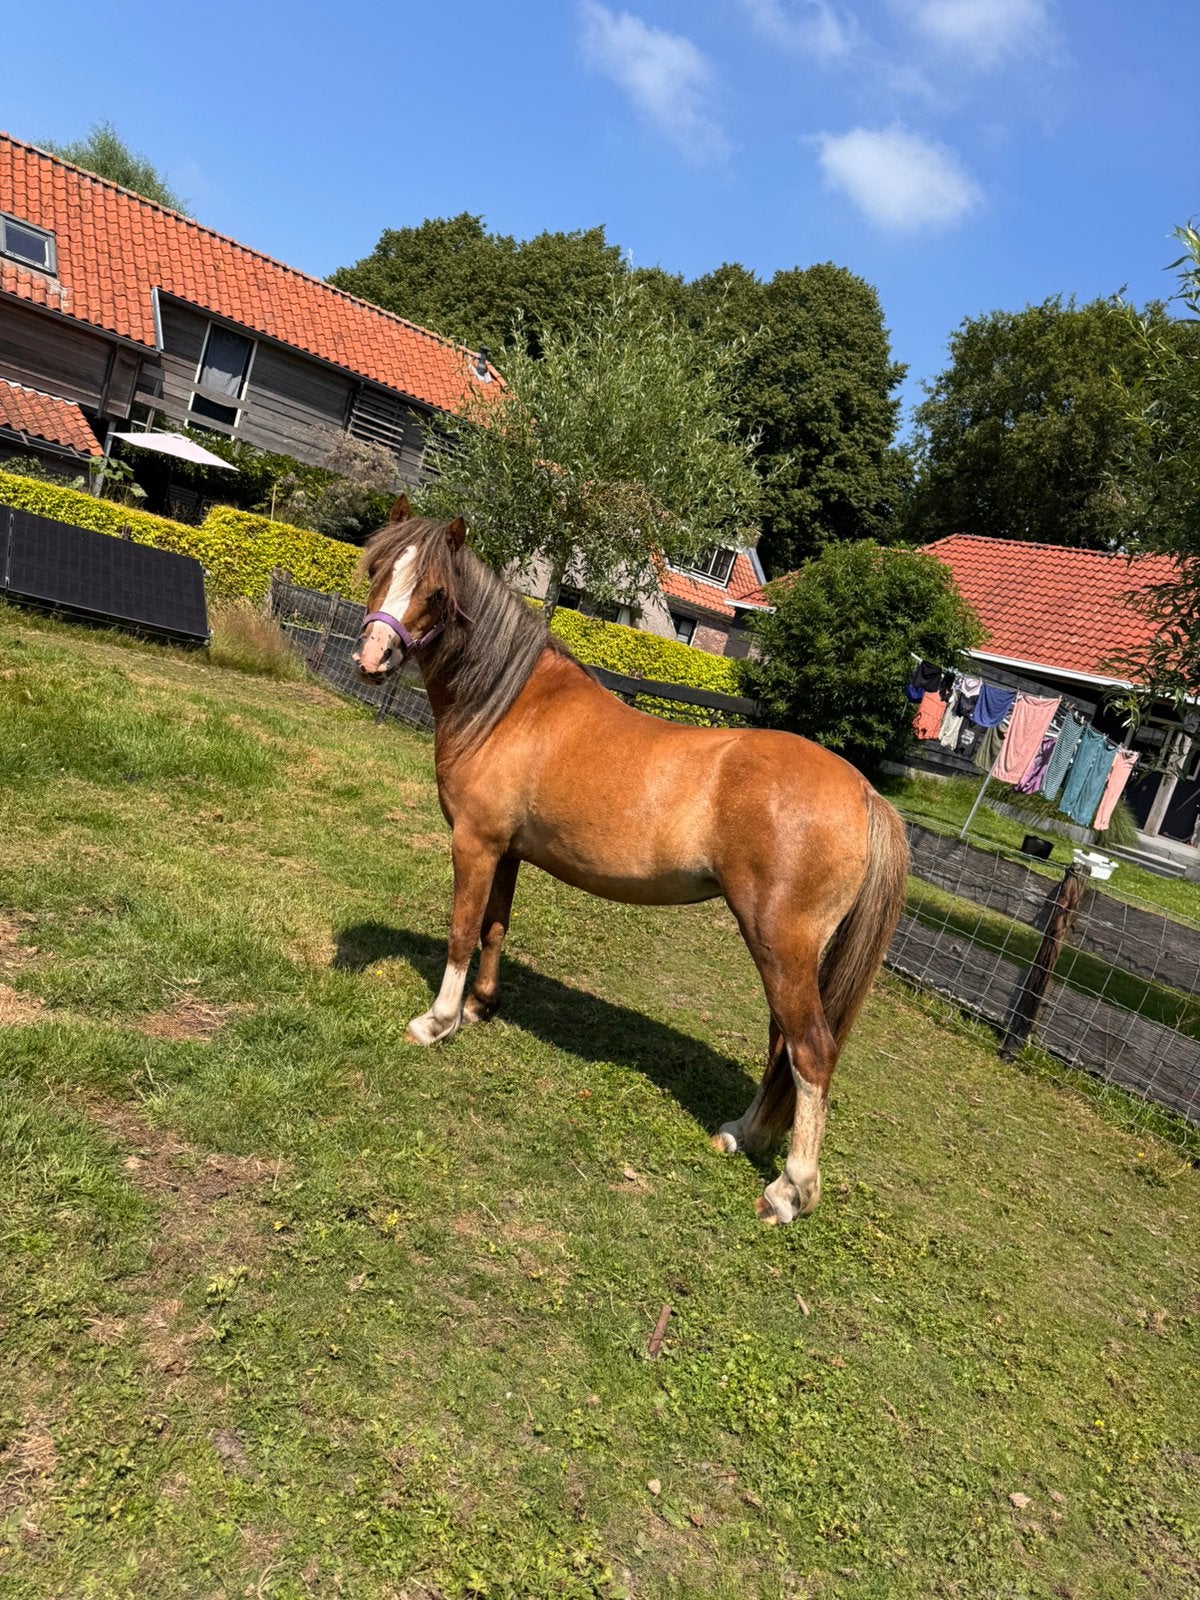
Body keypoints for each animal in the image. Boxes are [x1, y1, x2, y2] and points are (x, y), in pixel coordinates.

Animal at [353, 497, 908, 1224]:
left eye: (436, 593)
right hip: (787, 953)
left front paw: (437, 1022)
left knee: (810, 1051)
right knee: (782, 1044)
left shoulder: (474, 843)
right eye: (379, 569)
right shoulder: (508, 852)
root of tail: (864, 793)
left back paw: (789, 1190)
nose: (372, 657)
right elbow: (495, 929)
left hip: (779, 943)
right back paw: (741, 1134)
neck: (509, 706)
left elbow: (461, 931)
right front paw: (480, 1008)